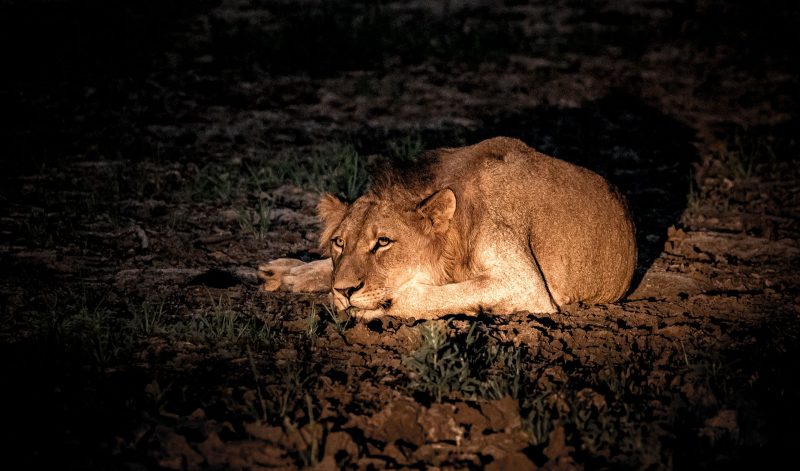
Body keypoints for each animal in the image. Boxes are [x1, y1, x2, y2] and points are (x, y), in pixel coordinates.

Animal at [260, 137, 636, 320]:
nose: (343, 291)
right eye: (339, 242)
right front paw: (293, 273)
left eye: (383, 242)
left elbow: (443, 293)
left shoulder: (527, 285)